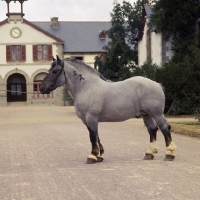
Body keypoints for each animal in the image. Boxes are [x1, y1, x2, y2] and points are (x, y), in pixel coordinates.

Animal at [40, 55, 177, 163]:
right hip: (146, 114)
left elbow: (92, 136)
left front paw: (92, 156)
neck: (86, 87)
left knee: (165, 128)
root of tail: (157, 84)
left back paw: (169, 154)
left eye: (55, 71)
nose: (42, 88)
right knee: (152, 129)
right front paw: (99, 155)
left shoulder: (91, 118)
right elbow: (96, 135)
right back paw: (149, 153)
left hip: (157, 113)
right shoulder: (88, 120)